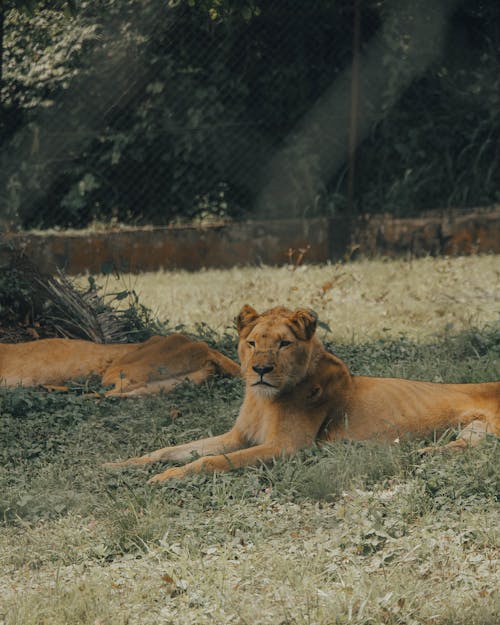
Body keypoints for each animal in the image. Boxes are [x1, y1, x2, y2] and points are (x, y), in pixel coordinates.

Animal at [103, 304, 498, 480]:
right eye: (252, 343)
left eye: (283, 344)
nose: (260, 370)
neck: (262, 401)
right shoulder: (238, 436)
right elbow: (170, 450)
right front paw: (117, 465)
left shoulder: (288, 447)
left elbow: (210, 461)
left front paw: (164, 478)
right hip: (471, 431)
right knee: (459, 447)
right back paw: (418, 453)